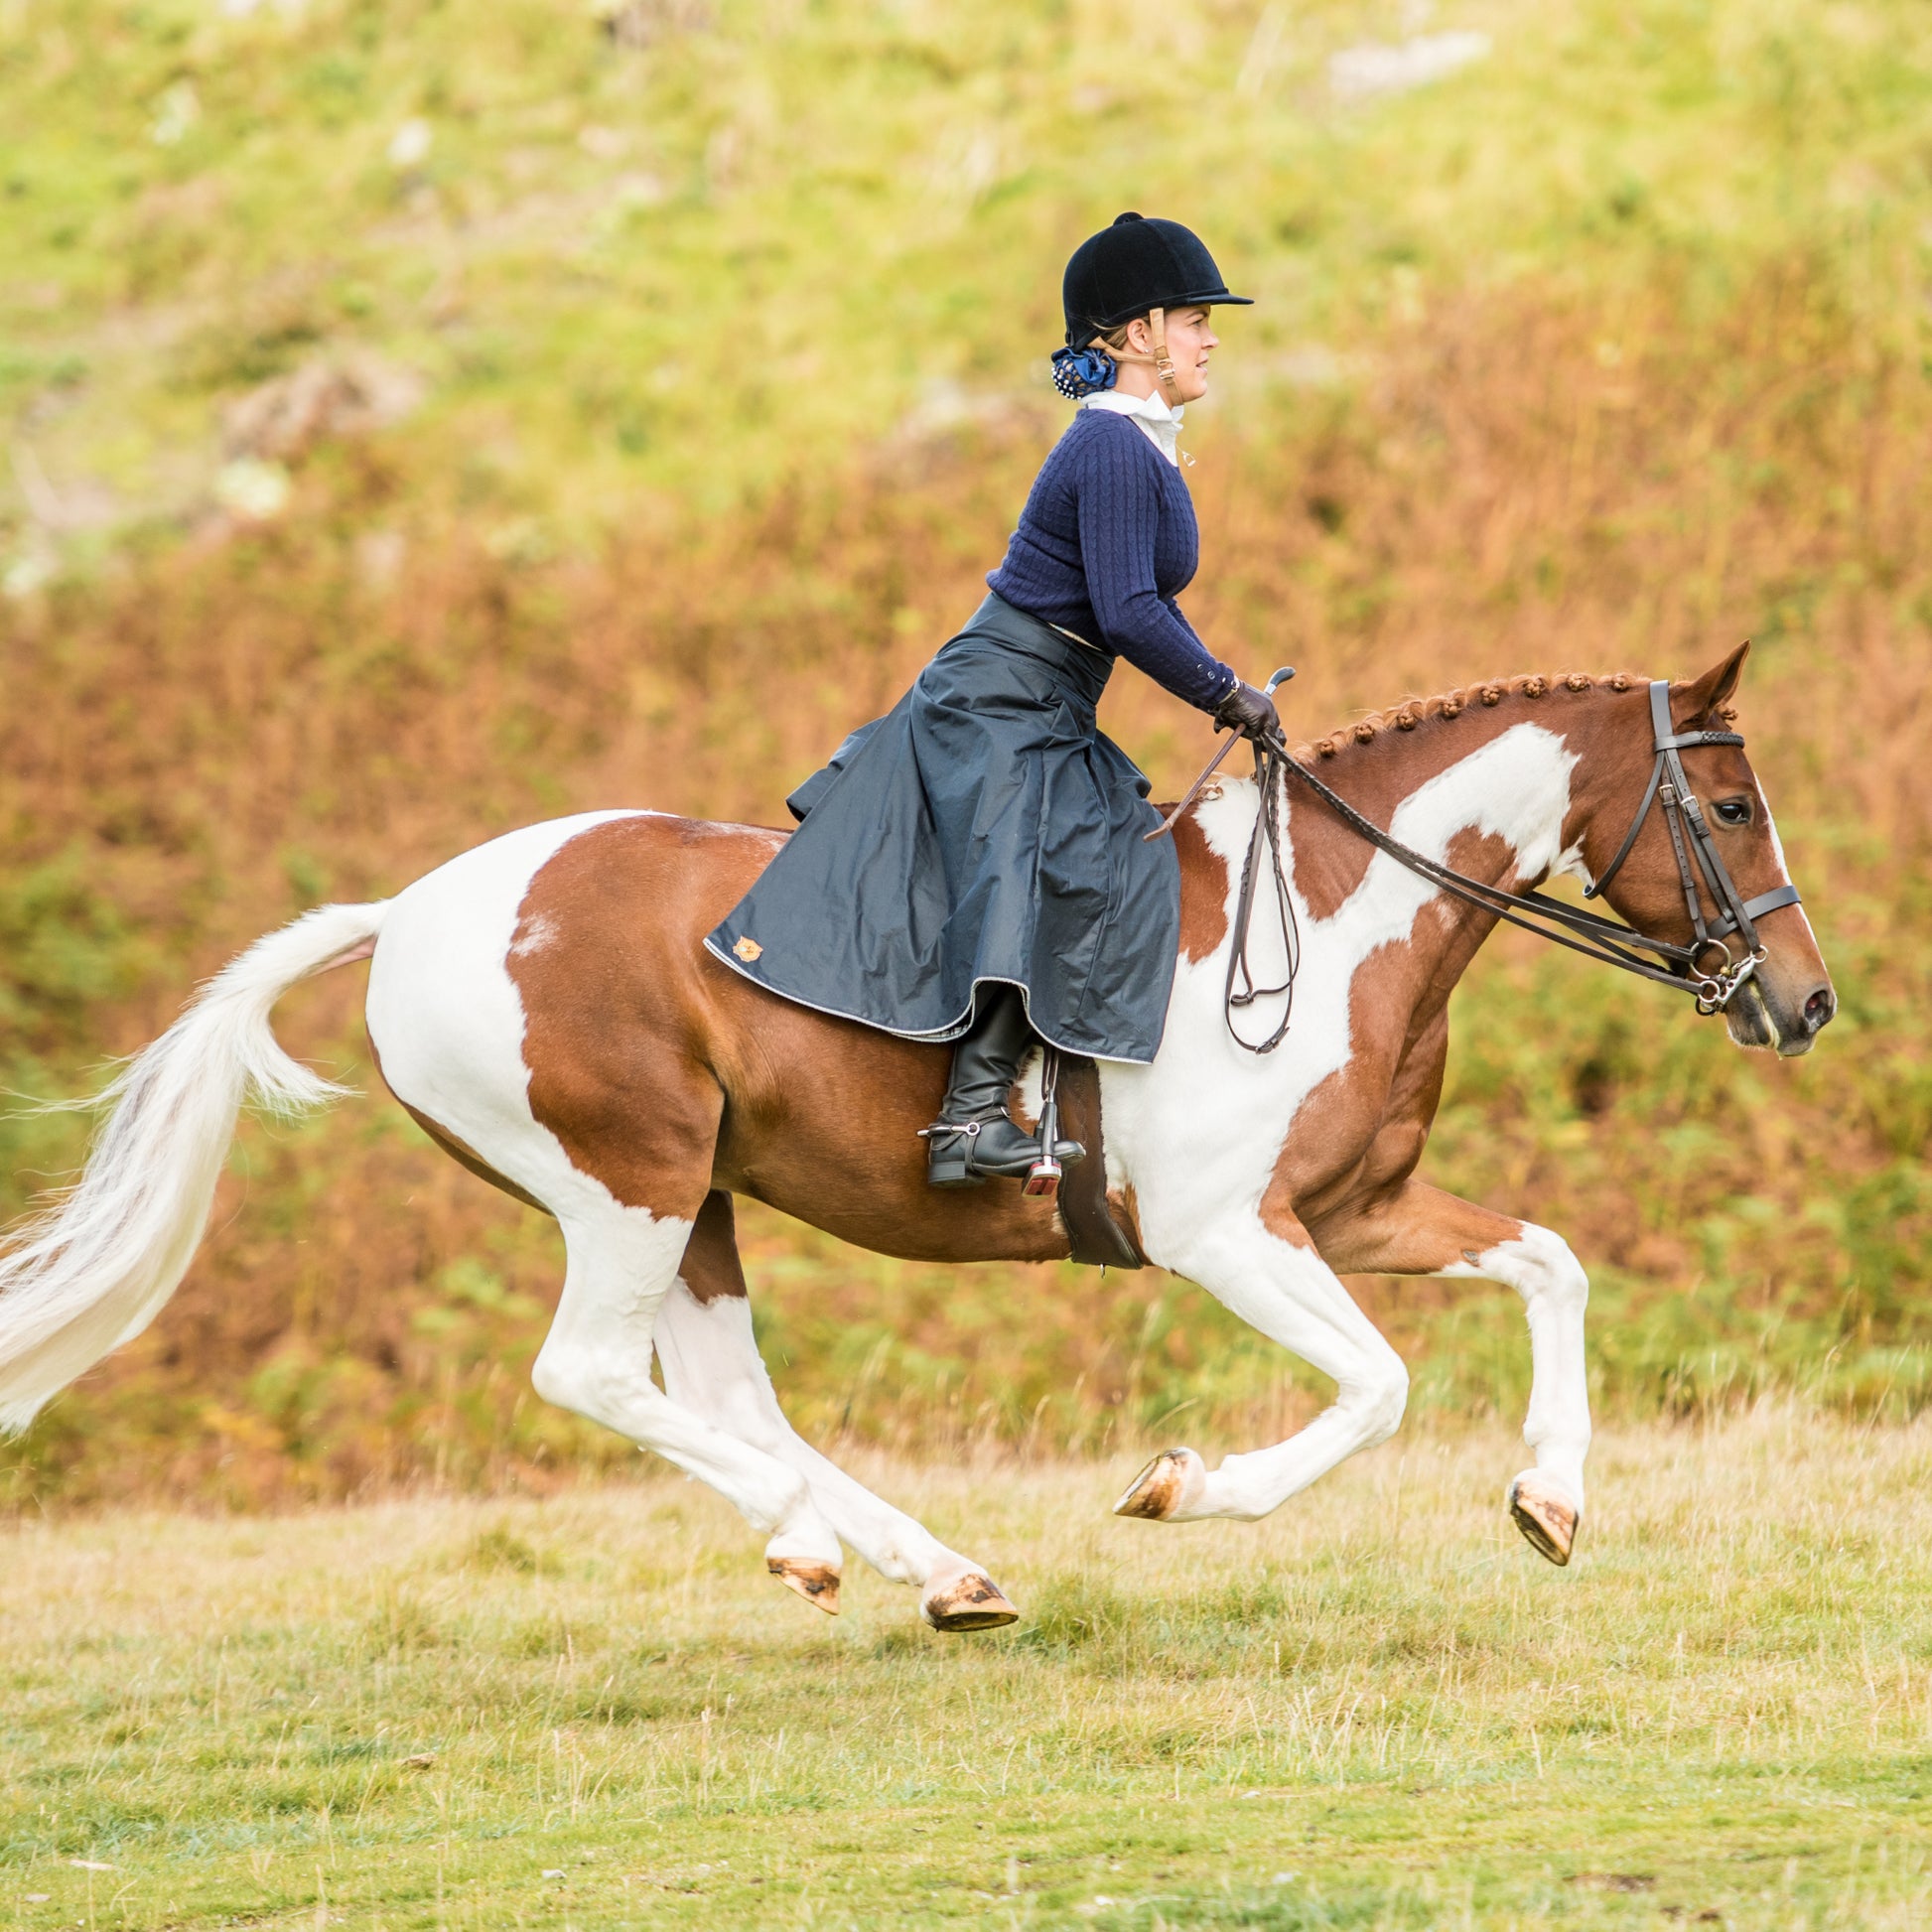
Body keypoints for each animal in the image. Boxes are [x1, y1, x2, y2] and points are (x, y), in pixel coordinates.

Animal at [0, 644, 1832, 1631]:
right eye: (1733, 806)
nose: (1802, 1003)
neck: (1335, 911)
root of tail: (414, 912)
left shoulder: (1360, 1208)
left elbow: (1551, 1265)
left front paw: (1551, 1500)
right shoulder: (1229, 1234)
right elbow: (1375, 1389)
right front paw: (1185, 1488)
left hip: (698, 1198)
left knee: (725, 1392)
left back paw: (932, 1570)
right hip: (624, 1182)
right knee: (594, 1377)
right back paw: (822, 1541)